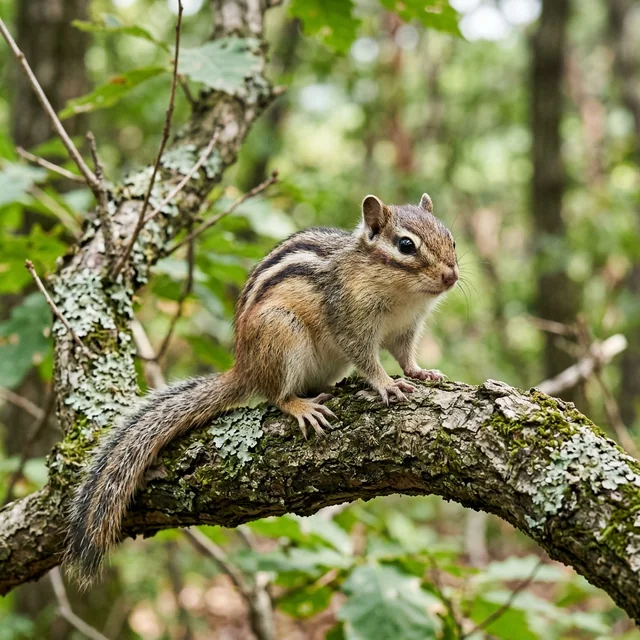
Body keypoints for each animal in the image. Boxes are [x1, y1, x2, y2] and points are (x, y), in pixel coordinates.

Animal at [65, 192, 459, 583]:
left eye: (451, 239)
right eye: (406, 245)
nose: (451, 276)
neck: (401, 294)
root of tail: (245, 369)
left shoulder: (406, 327)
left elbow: (405, 355)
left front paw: (421, 372)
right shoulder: (348, 317)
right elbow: (366, 357)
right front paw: (386, 385)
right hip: (281, 334)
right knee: (276, 395)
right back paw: (301, 406)